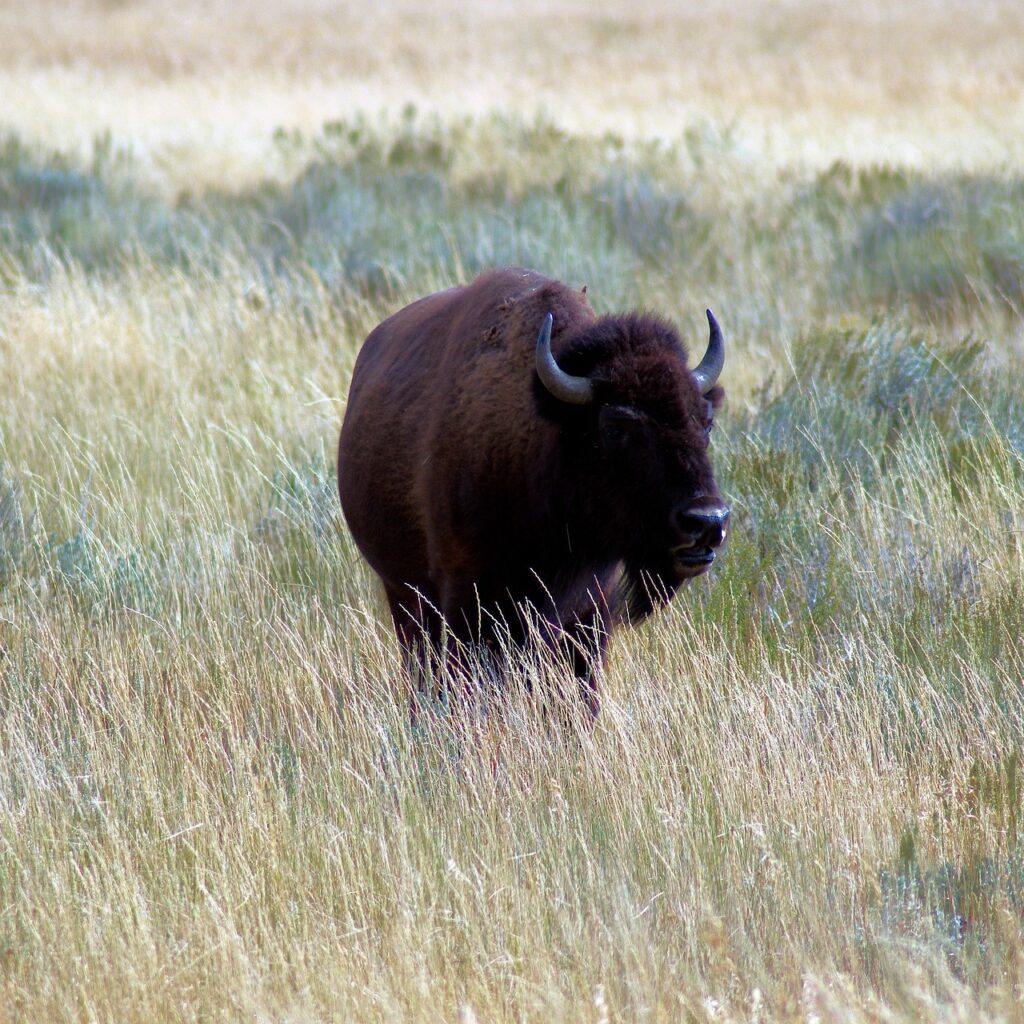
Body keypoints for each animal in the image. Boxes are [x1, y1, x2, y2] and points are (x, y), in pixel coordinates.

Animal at [337, 268, 729, 720]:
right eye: (616, 425)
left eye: (705, 422)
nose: (707, 520)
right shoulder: (467, 603)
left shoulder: (590, 614)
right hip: (406, 596)